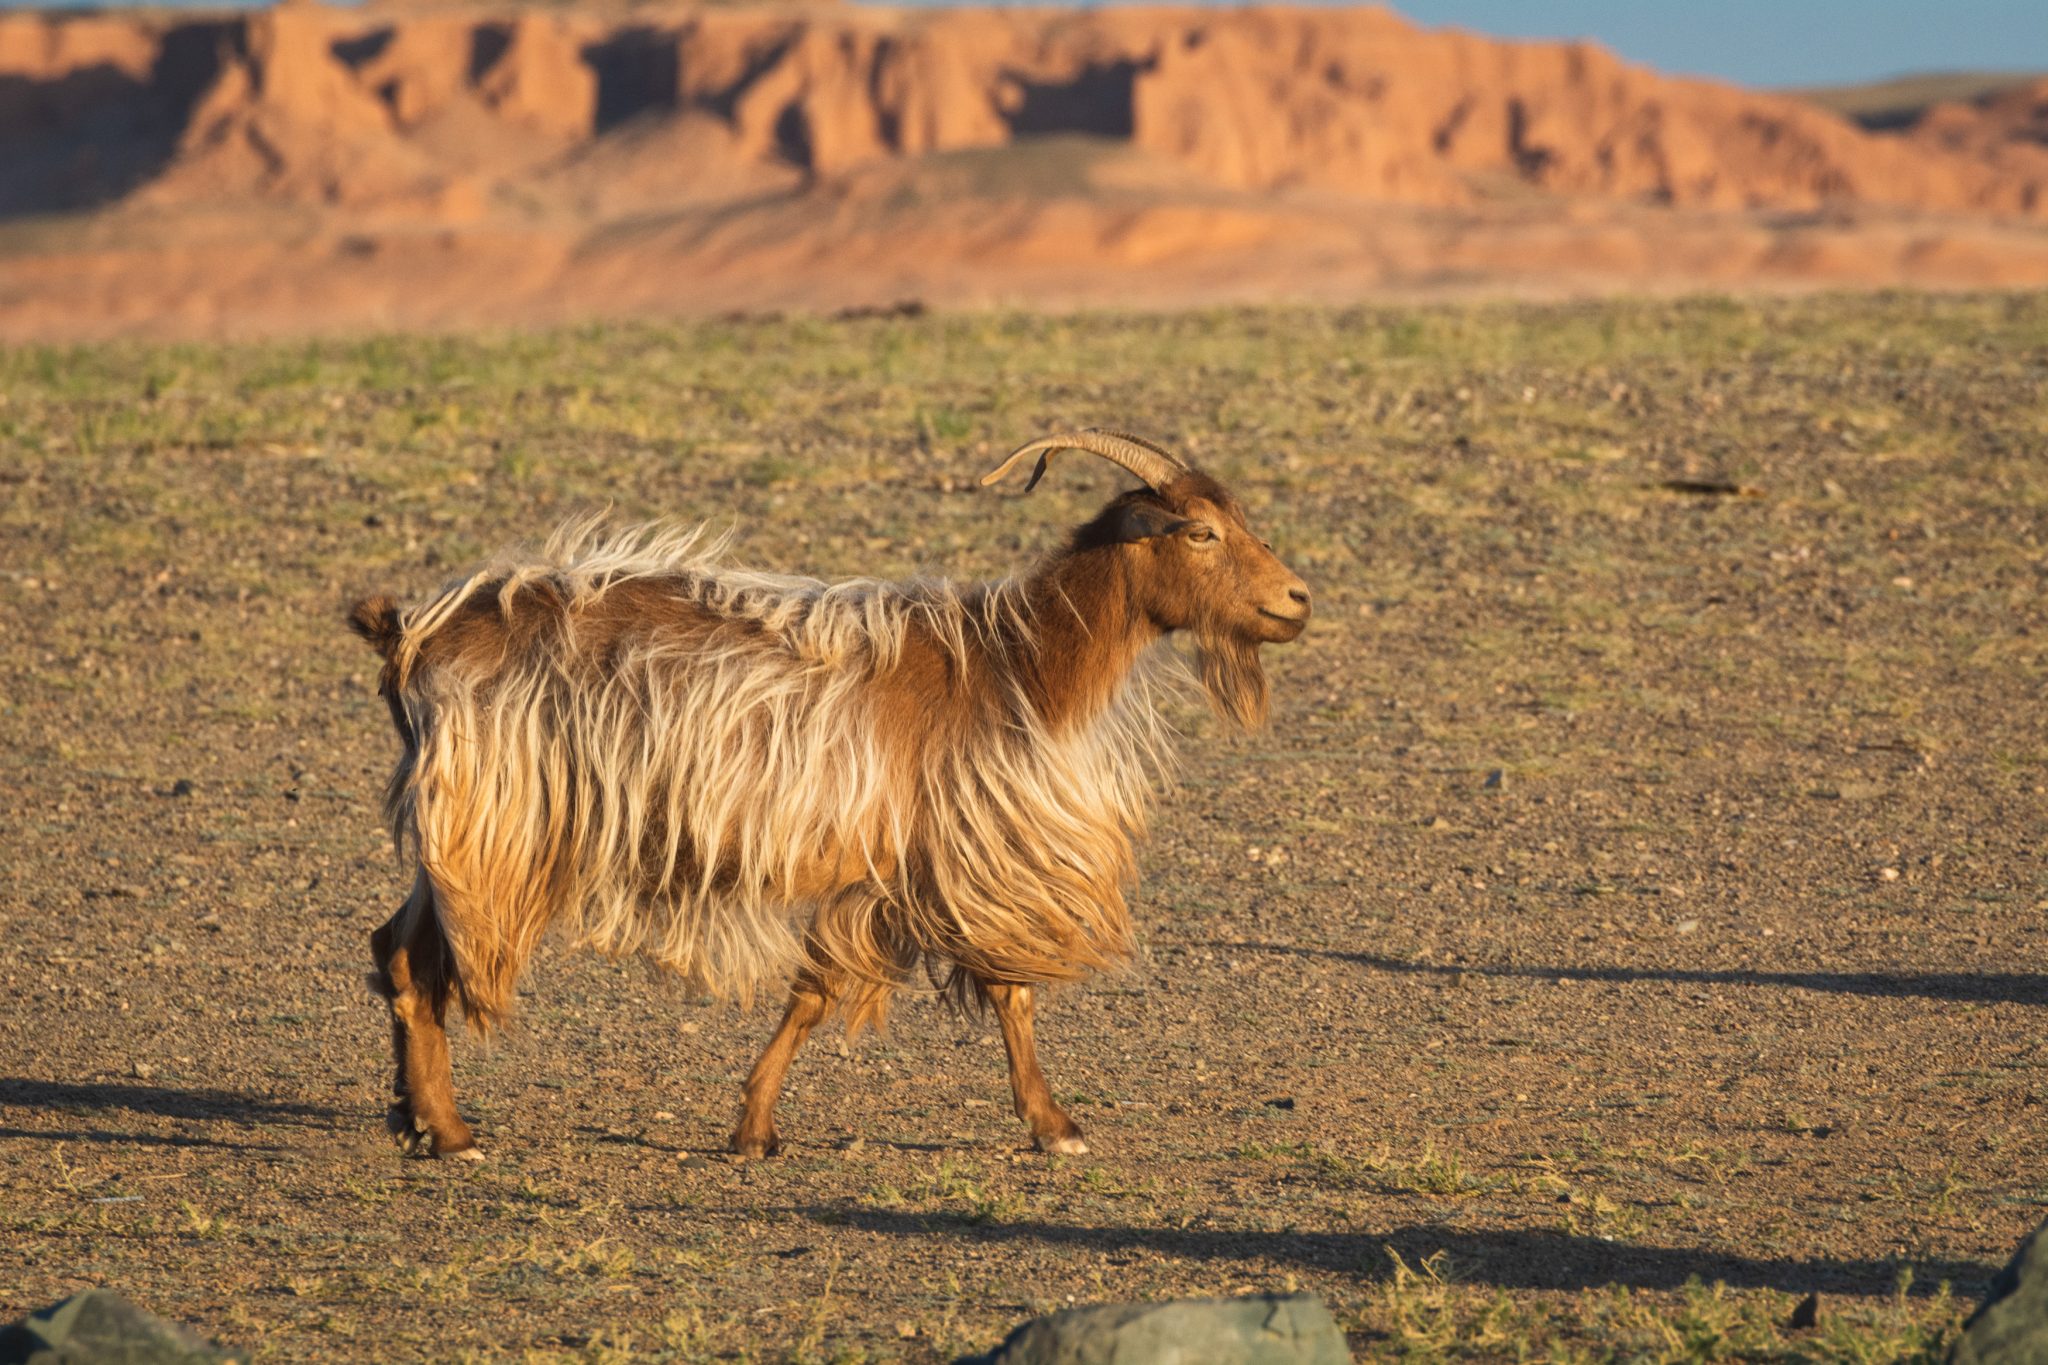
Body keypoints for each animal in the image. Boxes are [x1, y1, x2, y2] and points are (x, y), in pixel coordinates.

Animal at [348, 431, 1310, 1162]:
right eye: (1199, 532)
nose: (1297, 600)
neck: (1014, 662)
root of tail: (410, 636)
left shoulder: (893, 864)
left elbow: (829, 992)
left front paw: (753, 1125)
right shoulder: (936, 855)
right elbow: (988, 991)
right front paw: (1054, 1125)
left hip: (461, 823)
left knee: (395, 948)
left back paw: (416, 1118)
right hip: (495, 819)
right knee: (421, 959)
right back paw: (453, 1131)